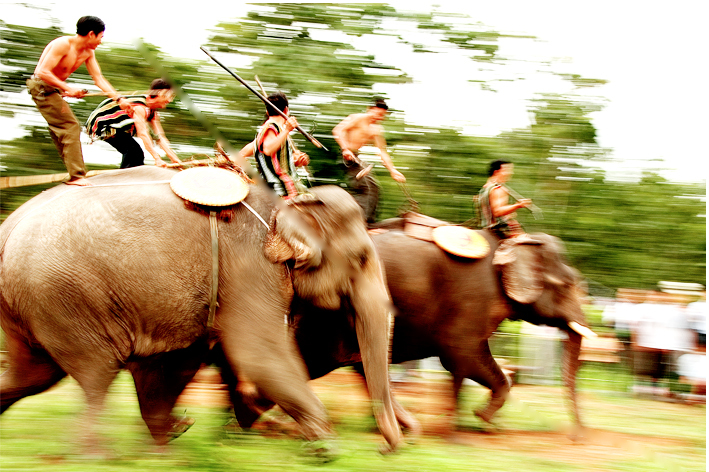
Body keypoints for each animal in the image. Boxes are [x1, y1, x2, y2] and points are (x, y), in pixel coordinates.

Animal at [0, 165, 401, 453]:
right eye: (362, 258)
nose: (388, 450)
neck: (286, 204)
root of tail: (8, 228)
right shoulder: (250, 268)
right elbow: (258, 353)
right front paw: (328, 449)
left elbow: (178, 360)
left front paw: (170, 440)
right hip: (64, 295)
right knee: (96, 374)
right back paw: (95, 456)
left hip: (31, 305)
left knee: (31, 374)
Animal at [225, 217, 594, 439]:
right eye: (566, 285)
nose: (576, 436)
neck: (510, 242)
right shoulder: (470, 304)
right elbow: (463, 358)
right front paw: (473, 424)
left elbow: (462, 366)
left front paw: (473, 424)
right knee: (305, 362)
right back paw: (249, 423)